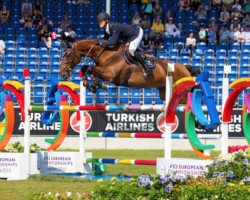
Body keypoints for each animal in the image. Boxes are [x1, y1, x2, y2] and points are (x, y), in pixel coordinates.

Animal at [59, 38, 199, 101]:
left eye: (68, 54)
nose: (63, 74)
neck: (107, 54)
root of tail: (185, 68)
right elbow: (86, 68)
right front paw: (91, 85)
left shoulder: (112, 75)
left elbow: (89, 68)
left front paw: (97, 84)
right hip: (164, 93)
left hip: (180, 95)